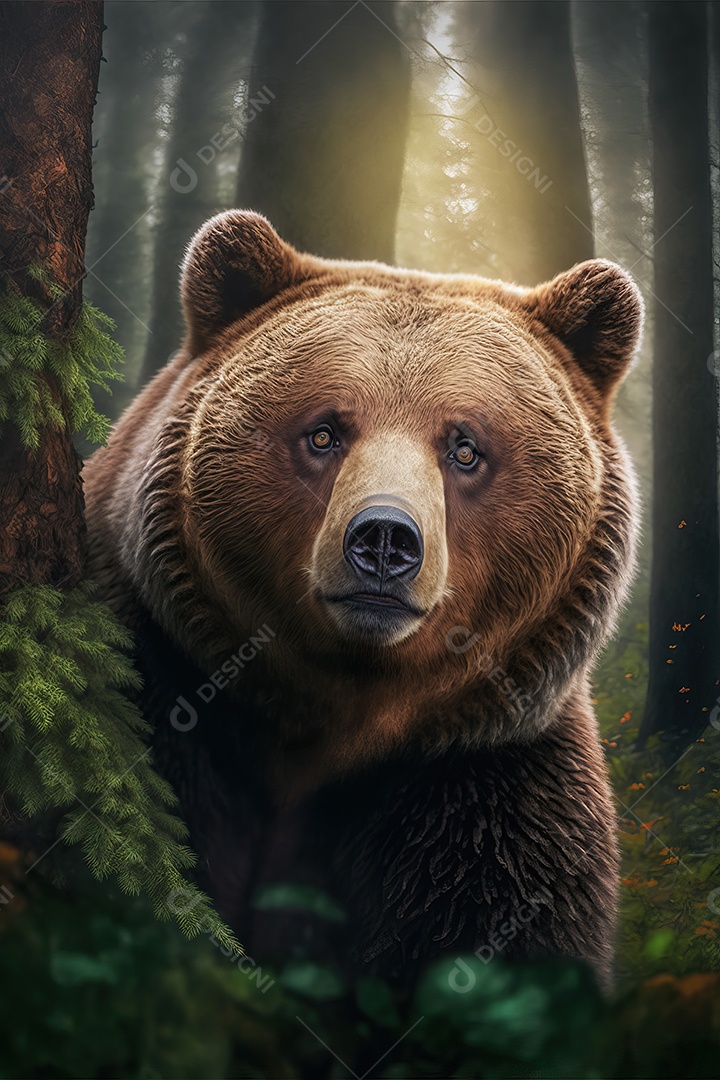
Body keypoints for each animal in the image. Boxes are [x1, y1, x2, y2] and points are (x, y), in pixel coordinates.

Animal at [83, 209, 642, 990]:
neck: (338, 717)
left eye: (464, 447)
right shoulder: (158, 688)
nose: (383, 540)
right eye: (325, 431)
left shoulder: (487, 785)